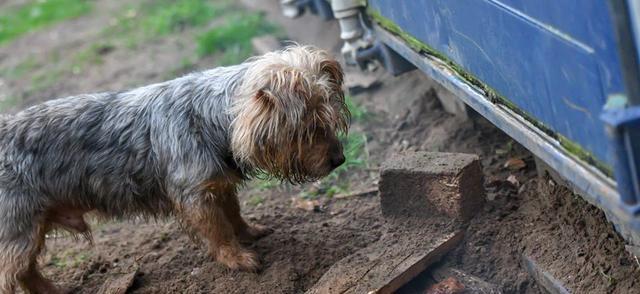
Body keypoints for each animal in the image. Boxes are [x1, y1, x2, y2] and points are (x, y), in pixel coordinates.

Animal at [0, 44, 350, 292]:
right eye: (308, 129)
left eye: (329, 120)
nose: (339, 160)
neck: (210, 117)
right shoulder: (195, 196)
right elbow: (218, 230)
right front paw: (237, 258)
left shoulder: (217, 185)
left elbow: (233, 214)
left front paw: (249, 232)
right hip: (18, 230)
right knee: (12, 273)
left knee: (26, 272)